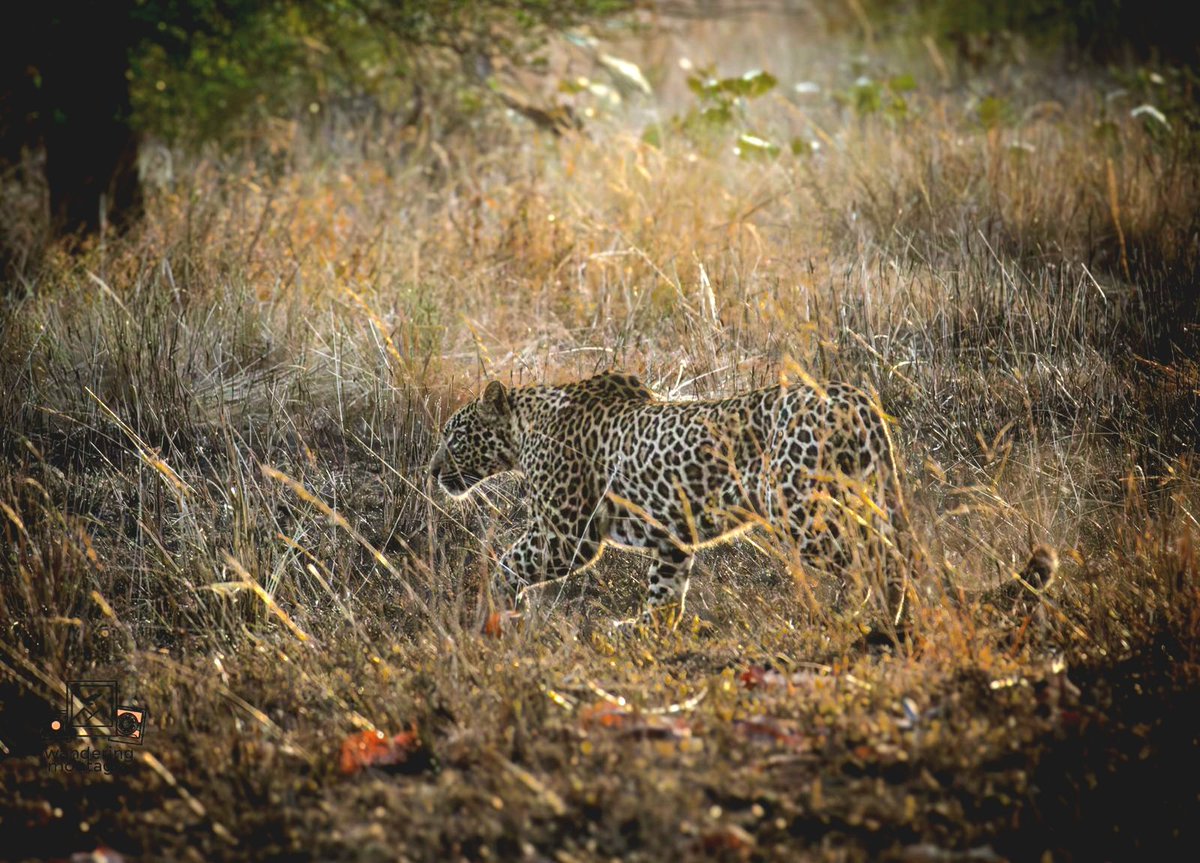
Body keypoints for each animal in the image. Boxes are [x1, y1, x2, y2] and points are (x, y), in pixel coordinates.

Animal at [430, 371, 911, 625]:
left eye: (454, 437)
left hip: (800, 509)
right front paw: (643, 630)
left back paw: (875, 616)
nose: (432, 472)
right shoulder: (672, 536)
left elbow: (507, 563)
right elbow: (664, 590)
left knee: (876, 557)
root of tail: (854, 397)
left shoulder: (565, 535)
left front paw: (496, 609)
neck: (524, 429)